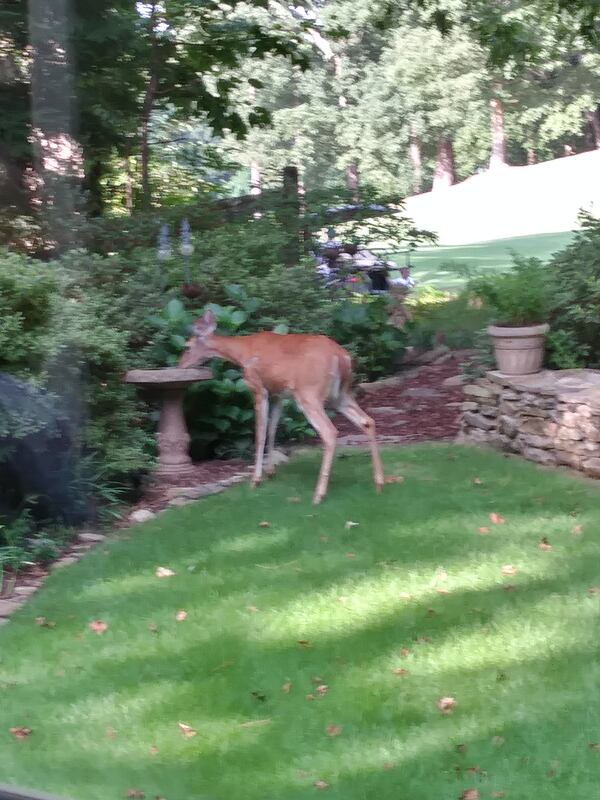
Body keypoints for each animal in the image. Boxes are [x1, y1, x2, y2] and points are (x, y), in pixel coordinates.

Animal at [179, 310, 384, 504]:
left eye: (187, 347)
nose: (180, 365)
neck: (242, 352)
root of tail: (341, 357)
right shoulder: (278, 394)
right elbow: (272, 429)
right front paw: (270, 472)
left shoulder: (258, 388)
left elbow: (260, 433)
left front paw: (256, 480)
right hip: (340, 395)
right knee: (367, 421)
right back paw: (379, 482)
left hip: (309, 393)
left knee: (330, 431)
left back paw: (319, 495)